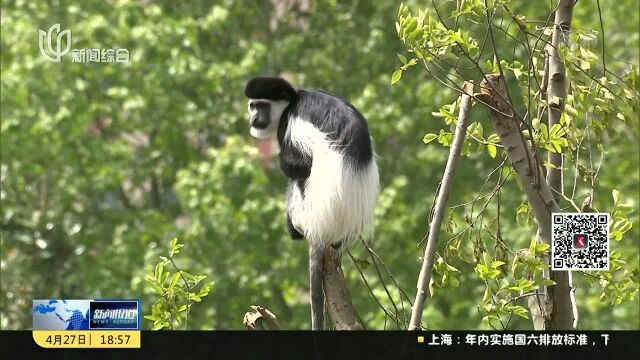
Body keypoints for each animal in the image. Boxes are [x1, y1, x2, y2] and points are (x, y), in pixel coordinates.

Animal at [244, 77, 376, 330]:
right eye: (252, 106)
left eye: (262, 106)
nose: (254, 118)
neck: (293, 100)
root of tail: (321, 231)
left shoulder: (289, 125)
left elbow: (297, 165)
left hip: (303, 212)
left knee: (297, 178)